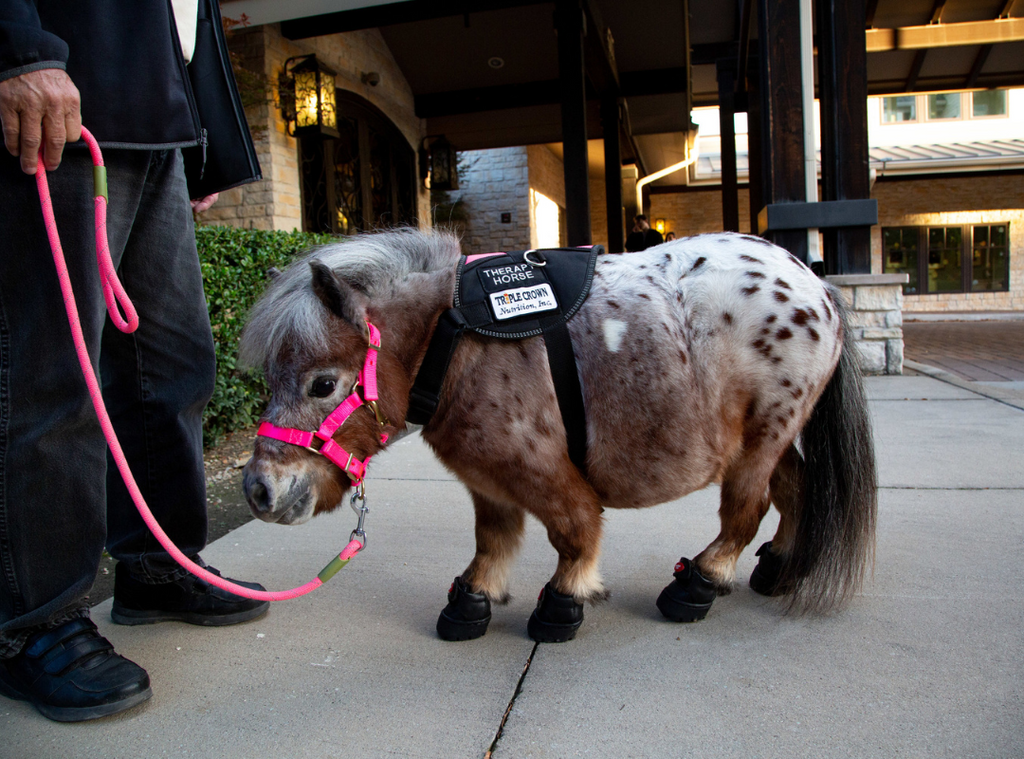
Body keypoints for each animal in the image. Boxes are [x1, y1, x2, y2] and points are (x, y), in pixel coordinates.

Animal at [237, 229, 872, 639]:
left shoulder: (541, 471)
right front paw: (472, 601)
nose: (259, 490)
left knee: (747, 510)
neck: (455, 339)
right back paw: (780, 567)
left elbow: (575, 531)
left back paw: (698, 584)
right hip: (769, 438)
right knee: (796, 490)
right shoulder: (487, 480)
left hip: (761, 439)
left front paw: (563, 603)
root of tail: (818, 289)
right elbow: (492, 541)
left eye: (323, 384)